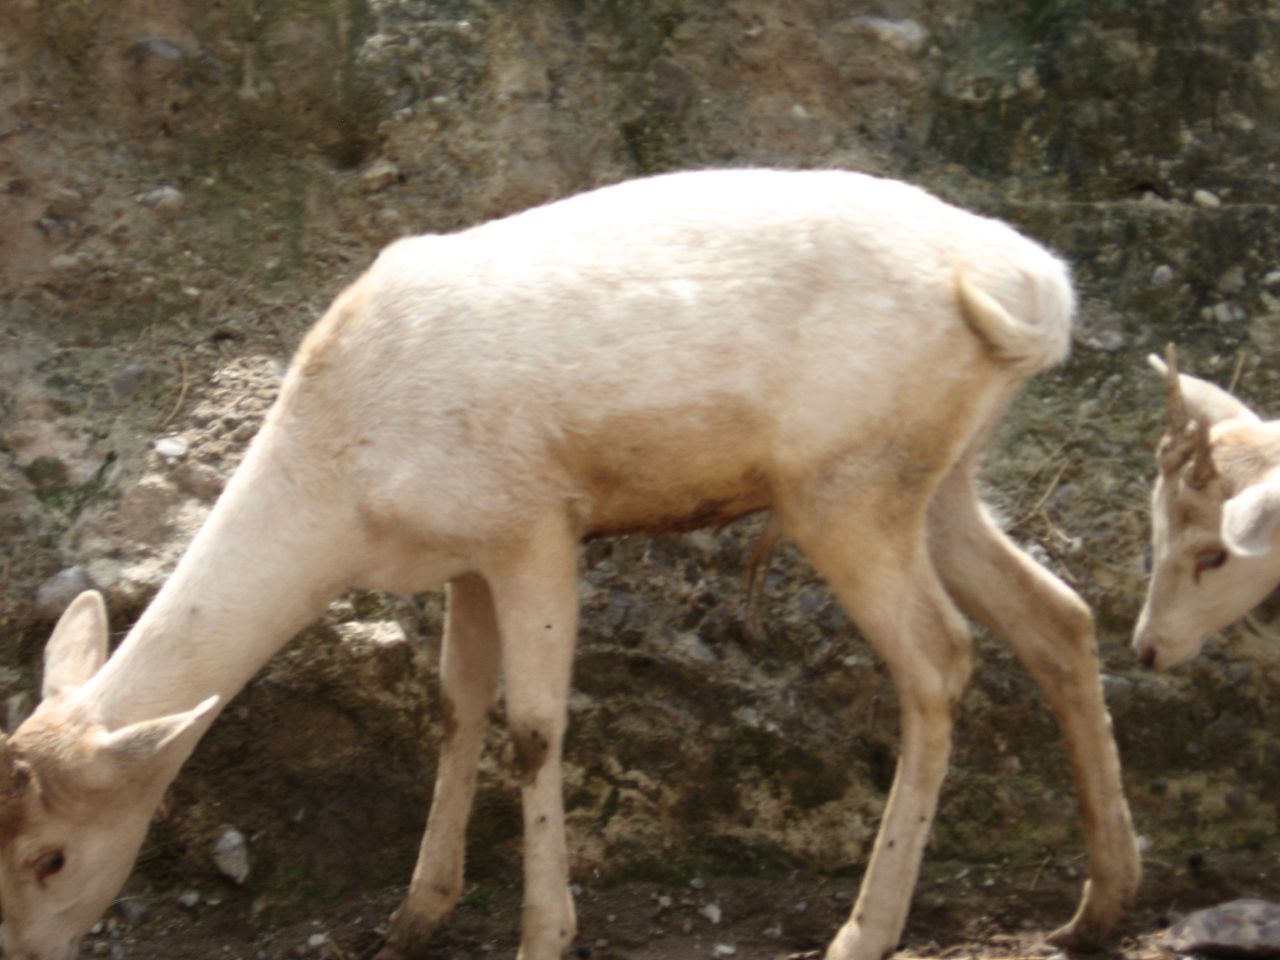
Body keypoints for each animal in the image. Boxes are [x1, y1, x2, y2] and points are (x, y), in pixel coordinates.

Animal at [0, 171, 1141, 960]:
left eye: (50, 854)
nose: (25, 947)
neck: (345, 487)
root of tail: (1035, 287)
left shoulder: (533, 524)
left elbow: (536, 725)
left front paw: (544, 932)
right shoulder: (462, 558)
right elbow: (456, 707)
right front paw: (413, 915)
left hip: (845, 483)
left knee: (940, 658)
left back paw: (864, 931)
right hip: (937, 479)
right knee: (1058, 616)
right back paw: (1101, 903)